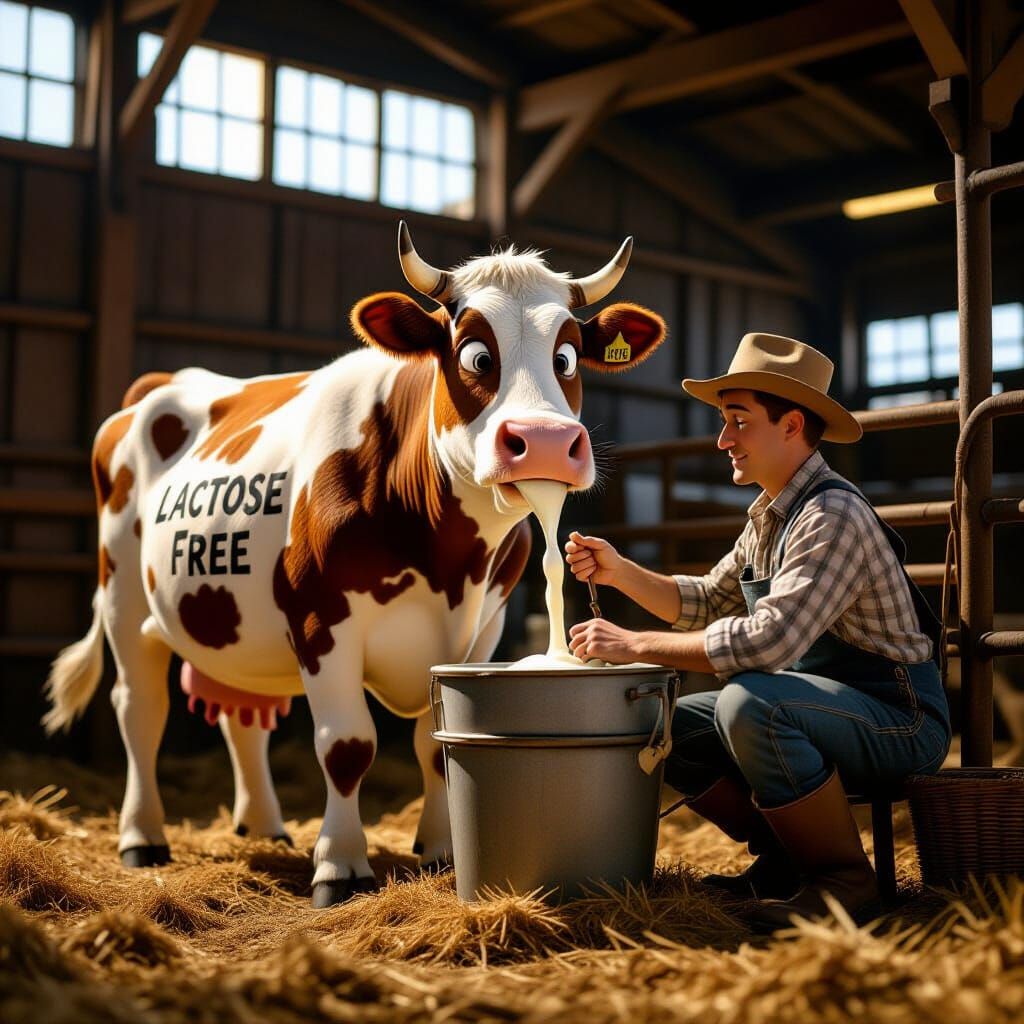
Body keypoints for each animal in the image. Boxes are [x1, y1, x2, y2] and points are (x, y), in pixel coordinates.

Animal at [43, 223, 666, 907]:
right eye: (475, 354)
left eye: (568, 358)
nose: (548, 442)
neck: (447, 557)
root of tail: (161, 385)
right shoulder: (321, 621)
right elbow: (346, 746)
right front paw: (340, 866)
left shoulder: (484, 629)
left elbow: (433, 743)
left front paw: (442, 851)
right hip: (125, 600)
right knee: (140, 710)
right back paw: (143, 838)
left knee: (243, 718)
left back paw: (266, 827)